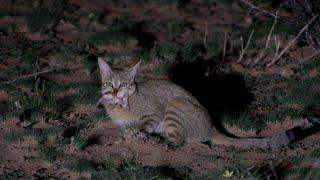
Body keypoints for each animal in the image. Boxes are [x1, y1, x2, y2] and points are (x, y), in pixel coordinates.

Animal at [97, 58, 296, 149]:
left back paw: (162, 143)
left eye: (123, 84)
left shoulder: (155, 113)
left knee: (177, 142)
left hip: (175, 105)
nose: (115, 91)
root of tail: (213, 127)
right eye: (109, 83)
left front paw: (137, 135)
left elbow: (144, 125)